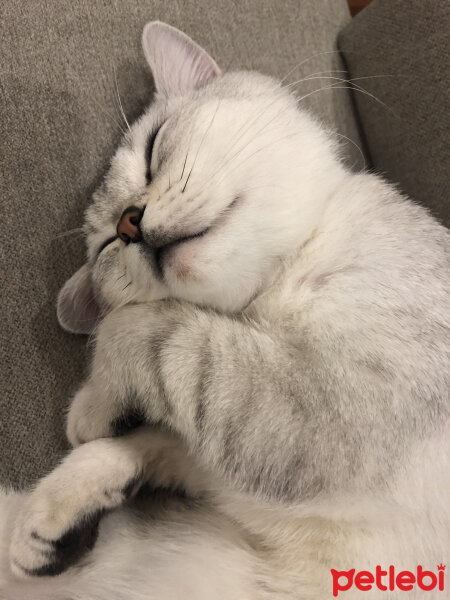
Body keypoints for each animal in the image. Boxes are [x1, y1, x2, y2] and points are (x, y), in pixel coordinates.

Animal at [0, 19, 450, 600]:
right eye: (104, 246)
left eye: (152, 148)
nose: (128, 223)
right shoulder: (242, 461)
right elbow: (151, 441)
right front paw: (52, 516)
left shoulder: (323, 411)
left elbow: (137, 330)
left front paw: (93, 404)